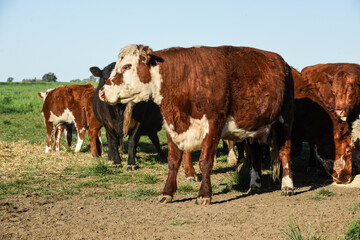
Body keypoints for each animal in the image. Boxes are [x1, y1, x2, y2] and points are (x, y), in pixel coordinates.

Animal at [97, 43, 292, 204]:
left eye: (126, 66)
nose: (102, 93)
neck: (183, 78)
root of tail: (283, 63)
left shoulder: (213, 124)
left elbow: (205, 161)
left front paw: (204, 194)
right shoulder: (171, 125)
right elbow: (173, 160)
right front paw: (167, 192)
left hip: (285, 121)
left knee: (284, 152)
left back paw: (287, 186)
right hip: (253, 129)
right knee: (256, 153)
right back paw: (255, 185)